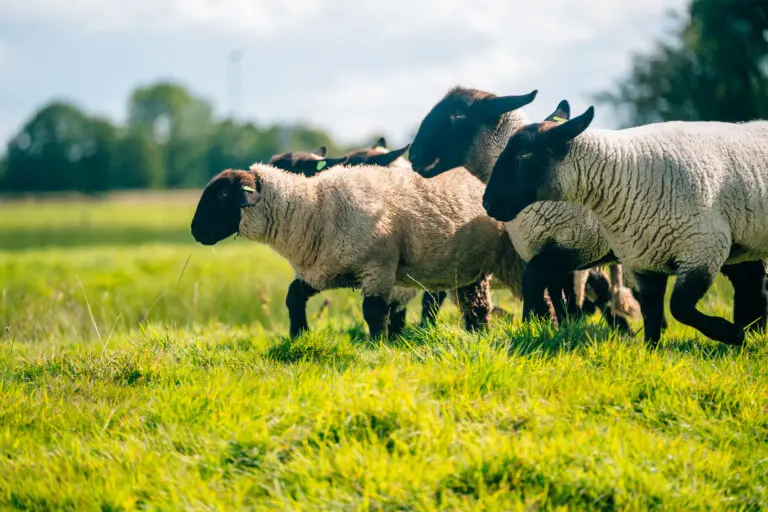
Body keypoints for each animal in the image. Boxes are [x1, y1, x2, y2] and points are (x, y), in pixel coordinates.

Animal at [191, 164, 528, 338]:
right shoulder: (323, 270)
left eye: (222, 194)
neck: (314, 209)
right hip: (468, 269)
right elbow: (293, 297)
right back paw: (476, 337)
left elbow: (374, 312)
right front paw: (299, 335)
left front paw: (378, 346)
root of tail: (475, 180)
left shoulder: (377, 268)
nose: (195, 231)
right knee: (475, 307)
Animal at [408, 86, 640, 330]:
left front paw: (534, 327)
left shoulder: (577, 243)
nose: (413, 154)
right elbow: (559, 302)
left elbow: (537, 289)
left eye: (459, 114)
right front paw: (562, 330)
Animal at [484, 101, 768, 348]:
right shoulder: (646, 260)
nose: (487, 203)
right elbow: (652, 315)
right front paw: (652, 355)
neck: (623, 174)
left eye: (524, 155)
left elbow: (678, 308)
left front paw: (731, 334)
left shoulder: (703, 249)